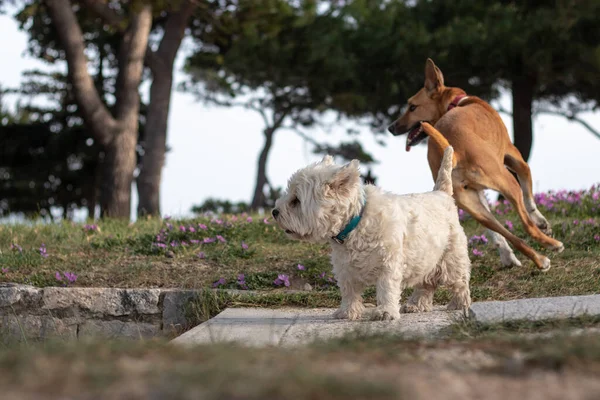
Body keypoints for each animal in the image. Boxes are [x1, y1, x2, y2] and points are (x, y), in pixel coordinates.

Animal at [272, 145, 474, 320]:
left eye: (296, 200)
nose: (274, 212)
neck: (355, 223)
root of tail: (442, 193)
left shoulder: (388, 263)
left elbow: (386, 289)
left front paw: (385, 313)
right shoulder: (345, 268)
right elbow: (349, 291)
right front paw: (347, 312)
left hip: (452, 258)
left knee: (460, 282)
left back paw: (459, 304)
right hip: (426, 259)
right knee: (426, 283)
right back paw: (415, 304)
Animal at [386, 58, 564, 272]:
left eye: (412, 107)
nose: (391, 127)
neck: (455, 103)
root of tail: (454, 151)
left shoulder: (477, 193)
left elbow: (497, 236)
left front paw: (507, 256)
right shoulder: (516, 159)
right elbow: (529, 198)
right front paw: (542, 222)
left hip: (473, 206)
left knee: (506, 233)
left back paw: (540, 260)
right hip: (507, 181)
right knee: (527, 225)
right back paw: (551, 245)